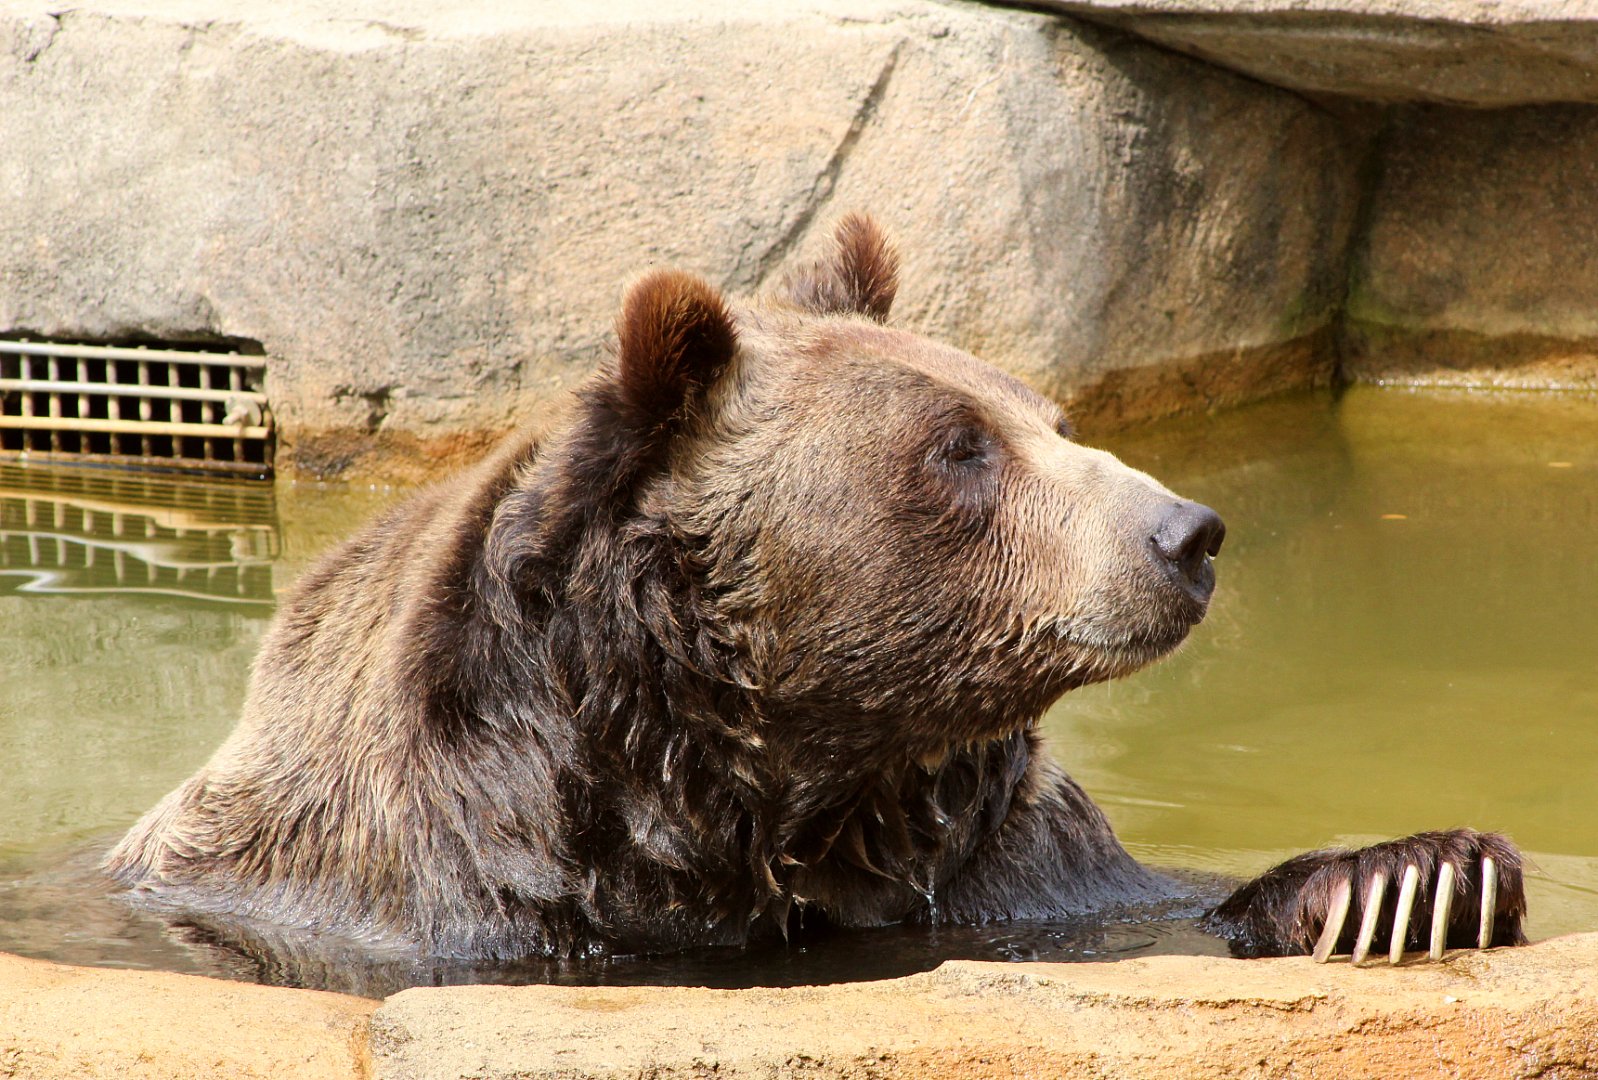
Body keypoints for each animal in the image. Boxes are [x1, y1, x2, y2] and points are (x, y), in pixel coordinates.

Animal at [105, 215, 1526, 967]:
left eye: (1052, 418)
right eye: (958, 447)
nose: (1185, 532)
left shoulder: (997, 867)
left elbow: (1152, 908)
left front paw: (1414, 878)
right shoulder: (465, 893)